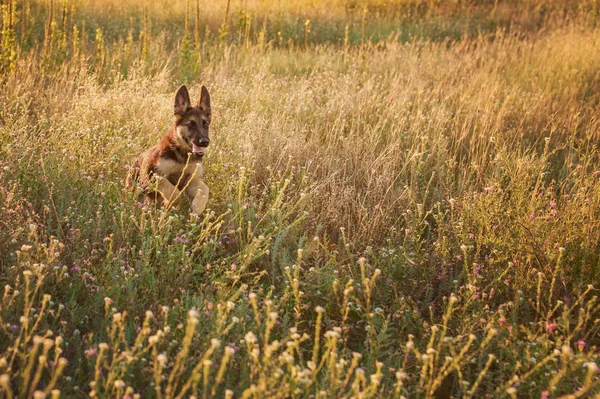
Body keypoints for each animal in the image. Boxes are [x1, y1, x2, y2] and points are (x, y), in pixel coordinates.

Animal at [124, 85, 211, 216]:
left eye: (205, 124)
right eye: (191, 124)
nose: (205, 142)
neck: (183, 156)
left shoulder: (191, 181)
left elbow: (205, 189)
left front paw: (197, 207)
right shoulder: (154, 175)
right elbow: (174, 192)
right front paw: (169, 204)